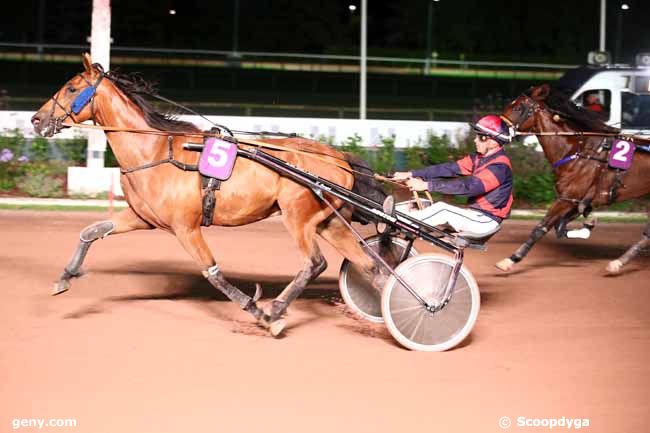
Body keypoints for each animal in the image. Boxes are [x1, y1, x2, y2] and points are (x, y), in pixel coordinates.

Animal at [31, 54, 384, 336]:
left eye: (71, 88)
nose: (36, 119)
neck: (155, 150)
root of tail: (338, 156)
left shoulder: (186, 228)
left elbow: (213, 272)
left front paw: (259, 312)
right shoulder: (141, 218)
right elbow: (90, 232)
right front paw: (65, 277)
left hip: (297, 217)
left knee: (314, 263)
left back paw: (277, 308)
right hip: (328, 222)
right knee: (370, 265)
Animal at [494, 84, 644, 274]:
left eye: (519, 107)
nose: (496, 129)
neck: (578, 151)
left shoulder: (566, 199)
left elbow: (541, 228)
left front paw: (511, 259)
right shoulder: (575, 200)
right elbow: (560, 227)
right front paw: (587, 226)